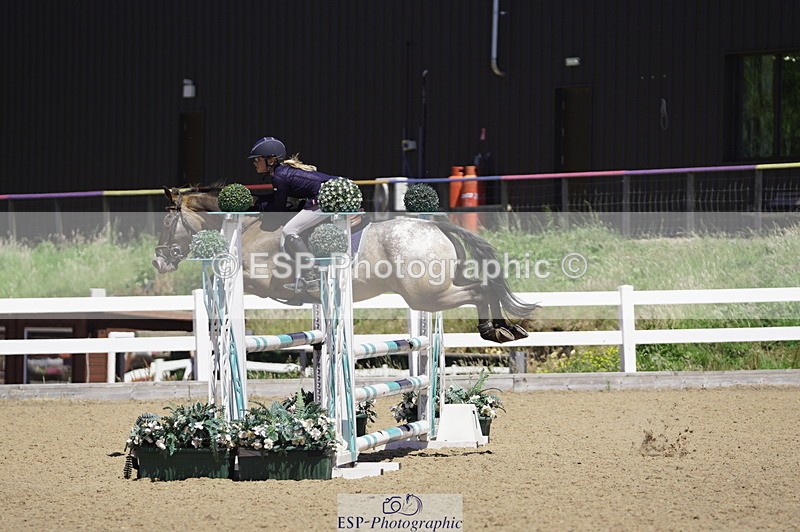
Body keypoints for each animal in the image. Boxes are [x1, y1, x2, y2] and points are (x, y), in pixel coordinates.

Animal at [152, 187, 538, 343]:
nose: (158, 260)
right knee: (481, 287)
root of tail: (435, 226)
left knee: (480, 289)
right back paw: (506, 330)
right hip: (435, 291)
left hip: (426, 296)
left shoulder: (258, 280)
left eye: (167, 221)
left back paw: (494, 330)